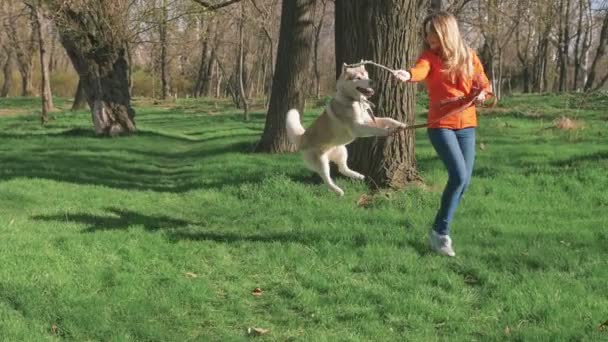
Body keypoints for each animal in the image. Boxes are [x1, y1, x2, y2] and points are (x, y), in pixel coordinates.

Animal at [286, 64, 408, 196]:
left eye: (366, 75)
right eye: (358, 77)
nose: (372, 81)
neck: (354, 101)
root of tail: (302, 137)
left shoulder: (369, 120)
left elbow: (387, 119)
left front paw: (400, 125)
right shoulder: (357, 128)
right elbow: (375, 129)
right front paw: (387, 132)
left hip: (342, 151)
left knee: (342, 168)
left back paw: (358, 176)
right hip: (321, 161)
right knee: (326, 178)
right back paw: (338, 191)